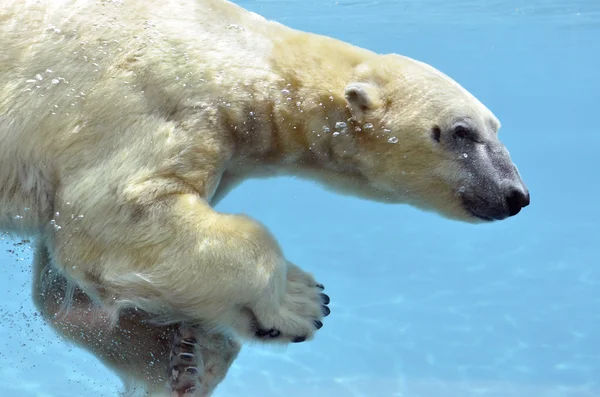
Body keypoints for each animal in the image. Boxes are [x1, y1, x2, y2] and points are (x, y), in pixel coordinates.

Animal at [2, 0, 528, 394]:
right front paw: (301, 302)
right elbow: (114, 214)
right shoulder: (156, 103)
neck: (247, 56)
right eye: (460, 132)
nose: (516, 195)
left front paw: (187, 360)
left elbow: (61, 284)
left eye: (496, 127)